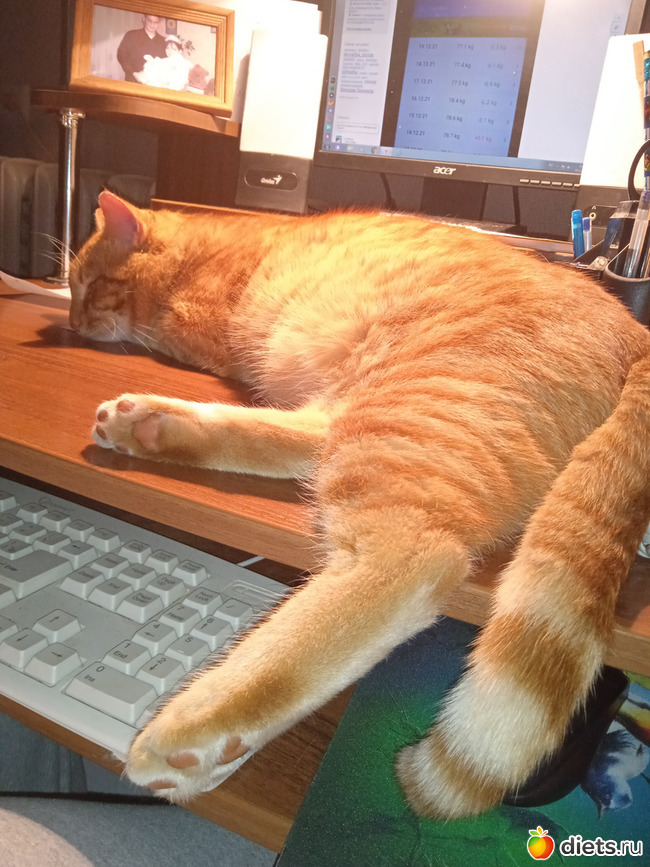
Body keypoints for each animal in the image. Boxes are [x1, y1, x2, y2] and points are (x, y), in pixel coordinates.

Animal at [68, 190, 650, 819]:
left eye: (87, 283)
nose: (73, 322)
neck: (208, 247)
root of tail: (634, 328)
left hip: (402, 414)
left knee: (406, 563)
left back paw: (192, 733)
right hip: (376, 410)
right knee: (309, 437)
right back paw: (150, 426)